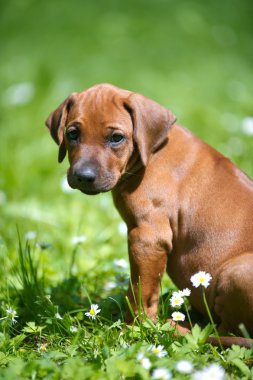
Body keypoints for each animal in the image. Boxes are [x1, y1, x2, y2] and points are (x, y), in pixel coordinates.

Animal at [45, 84, 253, 346]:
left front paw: (136, 328)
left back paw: (178, 328)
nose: (84, 176)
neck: (152, 151)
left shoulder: (147, 238)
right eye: (72, 134)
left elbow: (141, 292)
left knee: (226, 331)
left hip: (237, 273)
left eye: (116, 138)